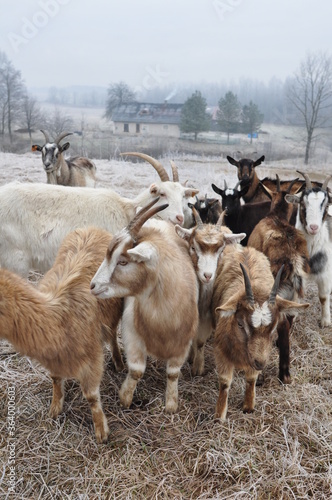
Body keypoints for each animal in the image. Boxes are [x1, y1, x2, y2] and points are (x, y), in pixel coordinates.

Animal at [0, 227, 124, 442]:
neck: (57, 318)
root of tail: (93, 228)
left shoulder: (92, 357)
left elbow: (91, 396)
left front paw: (101, 431)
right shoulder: (53, 358)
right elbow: (55, 379)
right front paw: (54, 410)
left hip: (114, 310)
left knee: (112, 334)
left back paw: (118, 362)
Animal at [90, 197, 200, 412]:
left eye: (123, 262)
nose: (93, 285)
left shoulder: (183, 344)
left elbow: (173, 373)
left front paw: (171, 405)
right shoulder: (132, 334)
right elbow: (137, 370)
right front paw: (125, 399)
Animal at [211, 244, 310, 420]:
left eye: (273, 328)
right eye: (240, 324)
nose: (260, 363)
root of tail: (245, 248)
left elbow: (251, 378)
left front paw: (248, 406)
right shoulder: (221, 351)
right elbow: (224, 382)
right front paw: (219, 416)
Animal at [286, 173, 332, 328]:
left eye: (326, 205)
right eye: (303, 203)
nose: (313, 227)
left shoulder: (325, 272)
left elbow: (323, 297)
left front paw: (325, 321)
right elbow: (295, 295)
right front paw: (292, 315)